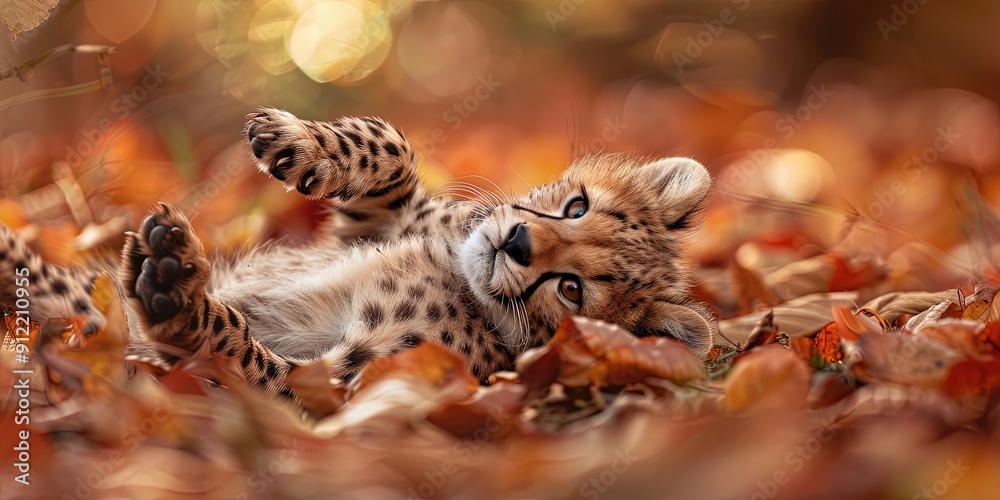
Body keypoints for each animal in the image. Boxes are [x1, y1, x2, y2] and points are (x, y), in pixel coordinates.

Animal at [1, 108, 717, 400]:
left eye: (572, 289)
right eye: (575, 207)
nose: (515, 241)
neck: (457, 271)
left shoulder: (351, 381)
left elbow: (248, 356)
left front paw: (177, 294)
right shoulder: (371, 223)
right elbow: (391, 144)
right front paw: (294, 142)